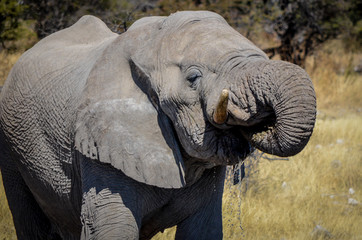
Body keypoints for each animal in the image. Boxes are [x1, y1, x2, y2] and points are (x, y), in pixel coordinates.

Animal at [0, 10, 316, 238]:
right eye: (193, 78)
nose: (260, 120)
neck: (147, 45)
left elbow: (203, 229)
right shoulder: (99, 147)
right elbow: (114, 229)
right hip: (11, 144)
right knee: (30, 222)